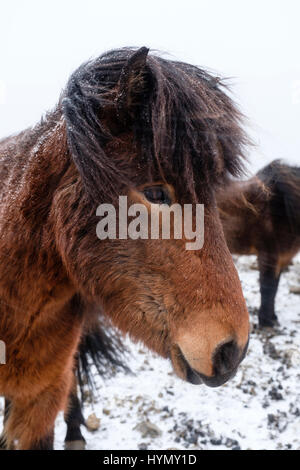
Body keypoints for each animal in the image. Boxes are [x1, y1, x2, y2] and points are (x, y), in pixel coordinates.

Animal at [218, 160, 300, 328]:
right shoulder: (269, 256)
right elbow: (268, 288)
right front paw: (267, 321)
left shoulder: (282, 259)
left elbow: (274, 287)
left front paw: (271, 317)